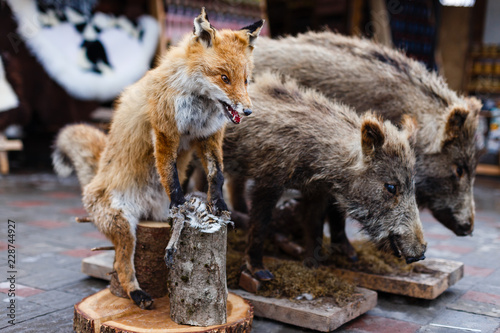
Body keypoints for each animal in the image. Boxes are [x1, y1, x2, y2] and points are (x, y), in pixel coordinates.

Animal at [52, 8, 266, 308]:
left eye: (245, 80)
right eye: (224, 78)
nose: (247, 111)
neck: (199, 105)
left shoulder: (208, 135)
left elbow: (217, 174)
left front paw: (219, 204)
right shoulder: (165, 129)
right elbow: (170, 173)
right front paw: (179, 203)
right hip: (122, 225)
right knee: (120, 265)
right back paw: (137, 293)